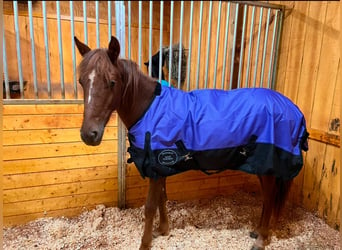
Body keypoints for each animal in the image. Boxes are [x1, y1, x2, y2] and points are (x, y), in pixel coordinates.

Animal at [75, 35, 310, 250]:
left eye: (112, 82)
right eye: (82, 81)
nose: (89, 134)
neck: (149, 108)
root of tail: (292, 108)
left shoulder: (156, 167)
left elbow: (150, 206)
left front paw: (145, 243)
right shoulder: (162, 166)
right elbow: (162, 198)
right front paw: (163, 230)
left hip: (268, 165)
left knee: (270, 198)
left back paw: (261, 240)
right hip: (263, 168)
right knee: (268, 198)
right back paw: (258, 232)